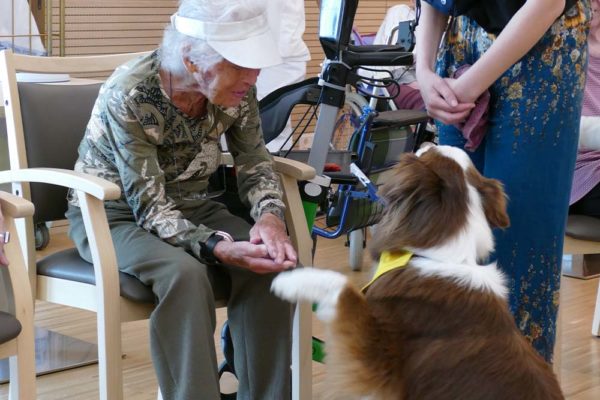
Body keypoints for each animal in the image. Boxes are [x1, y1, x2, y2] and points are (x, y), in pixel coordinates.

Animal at [272, 145, 564, 398]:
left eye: (429, 151)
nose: (426, 141)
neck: (441, 255)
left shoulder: (378, 361)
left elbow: (344, 289)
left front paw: (291, 279)